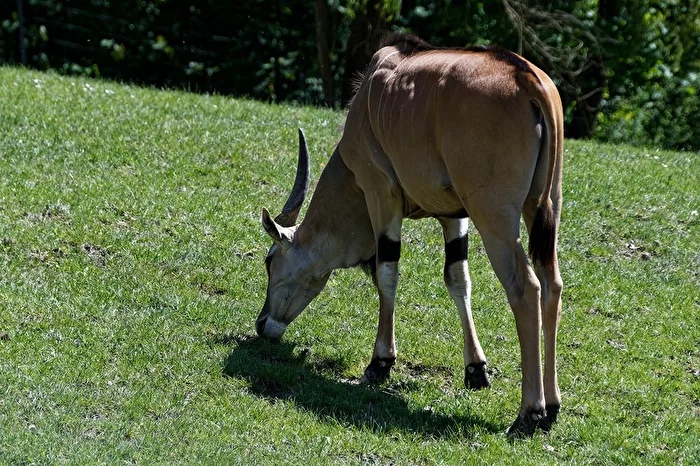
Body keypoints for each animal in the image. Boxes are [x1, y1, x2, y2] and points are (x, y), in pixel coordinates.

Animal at [256, 34, 564, 436]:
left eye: (269, 261)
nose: (262, 324)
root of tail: (526, 77)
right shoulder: (454, 216)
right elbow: (458, 278)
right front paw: (475, 369)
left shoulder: (380, 193)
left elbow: (387, 273)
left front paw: (380, 363)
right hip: (545, 209)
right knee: (552, 284)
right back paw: (553, 406)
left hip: (495, 217)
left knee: (526, 288)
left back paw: (530, 412)